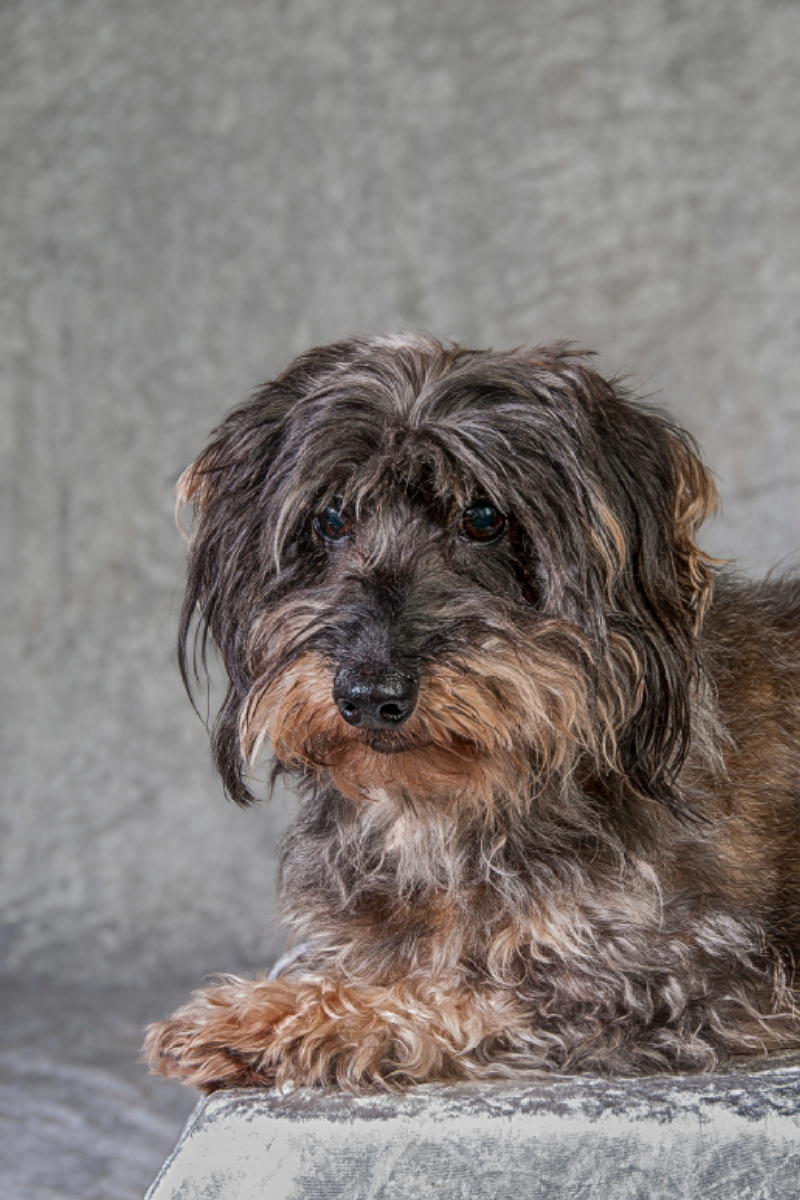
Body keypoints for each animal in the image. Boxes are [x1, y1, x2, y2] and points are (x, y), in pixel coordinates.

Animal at [143, 333, 800, 1094]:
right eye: (330, 519)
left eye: (483, 517)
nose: (368, 695)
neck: (450, 808)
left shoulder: (676, 976)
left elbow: (453, 991)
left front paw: (269, 1019)